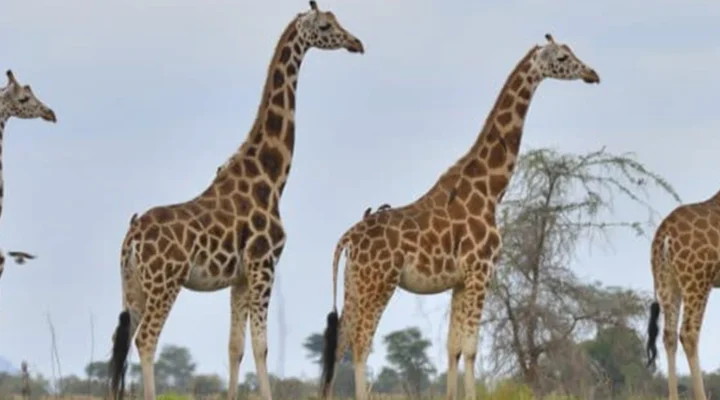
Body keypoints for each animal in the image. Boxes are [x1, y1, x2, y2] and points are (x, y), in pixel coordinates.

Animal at [107, 2, 364, 400]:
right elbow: (261, 346)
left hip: (132, 286)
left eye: (337, 21)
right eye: (325, 26)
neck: (272, 180)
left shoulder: (239, 278)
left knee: (122, 342)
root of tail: (131, 237)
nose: (356, 43)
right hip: (165, 283)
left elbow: (235, 347)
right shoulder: (264, 265)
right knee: (146, 340)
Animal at [320, 34, 600, 400]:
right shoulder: (480, 271)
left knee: (339, 344)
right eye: (563, 58)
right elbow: (470, 348)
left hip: (354, 284)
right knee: (361, 345)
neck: (489, 190)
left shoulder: (459, 280)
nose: (592, 74)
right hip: (379, 282)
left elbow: (453, 348)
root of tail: (348, 237)